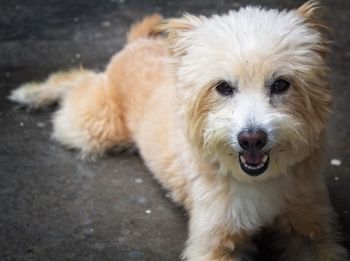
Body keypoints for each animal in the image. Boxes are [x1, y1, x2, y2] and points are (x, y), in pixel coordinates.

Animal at [8, 1, 348, 258]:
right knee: (78, 81)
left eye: (281, 84)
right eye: (223, 87)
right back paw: (33, 92)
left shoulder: (313, 229)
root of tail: (139, 43)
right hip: (94, 125)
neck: (258, 181)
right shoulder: (213, 242)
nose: (251, 139)